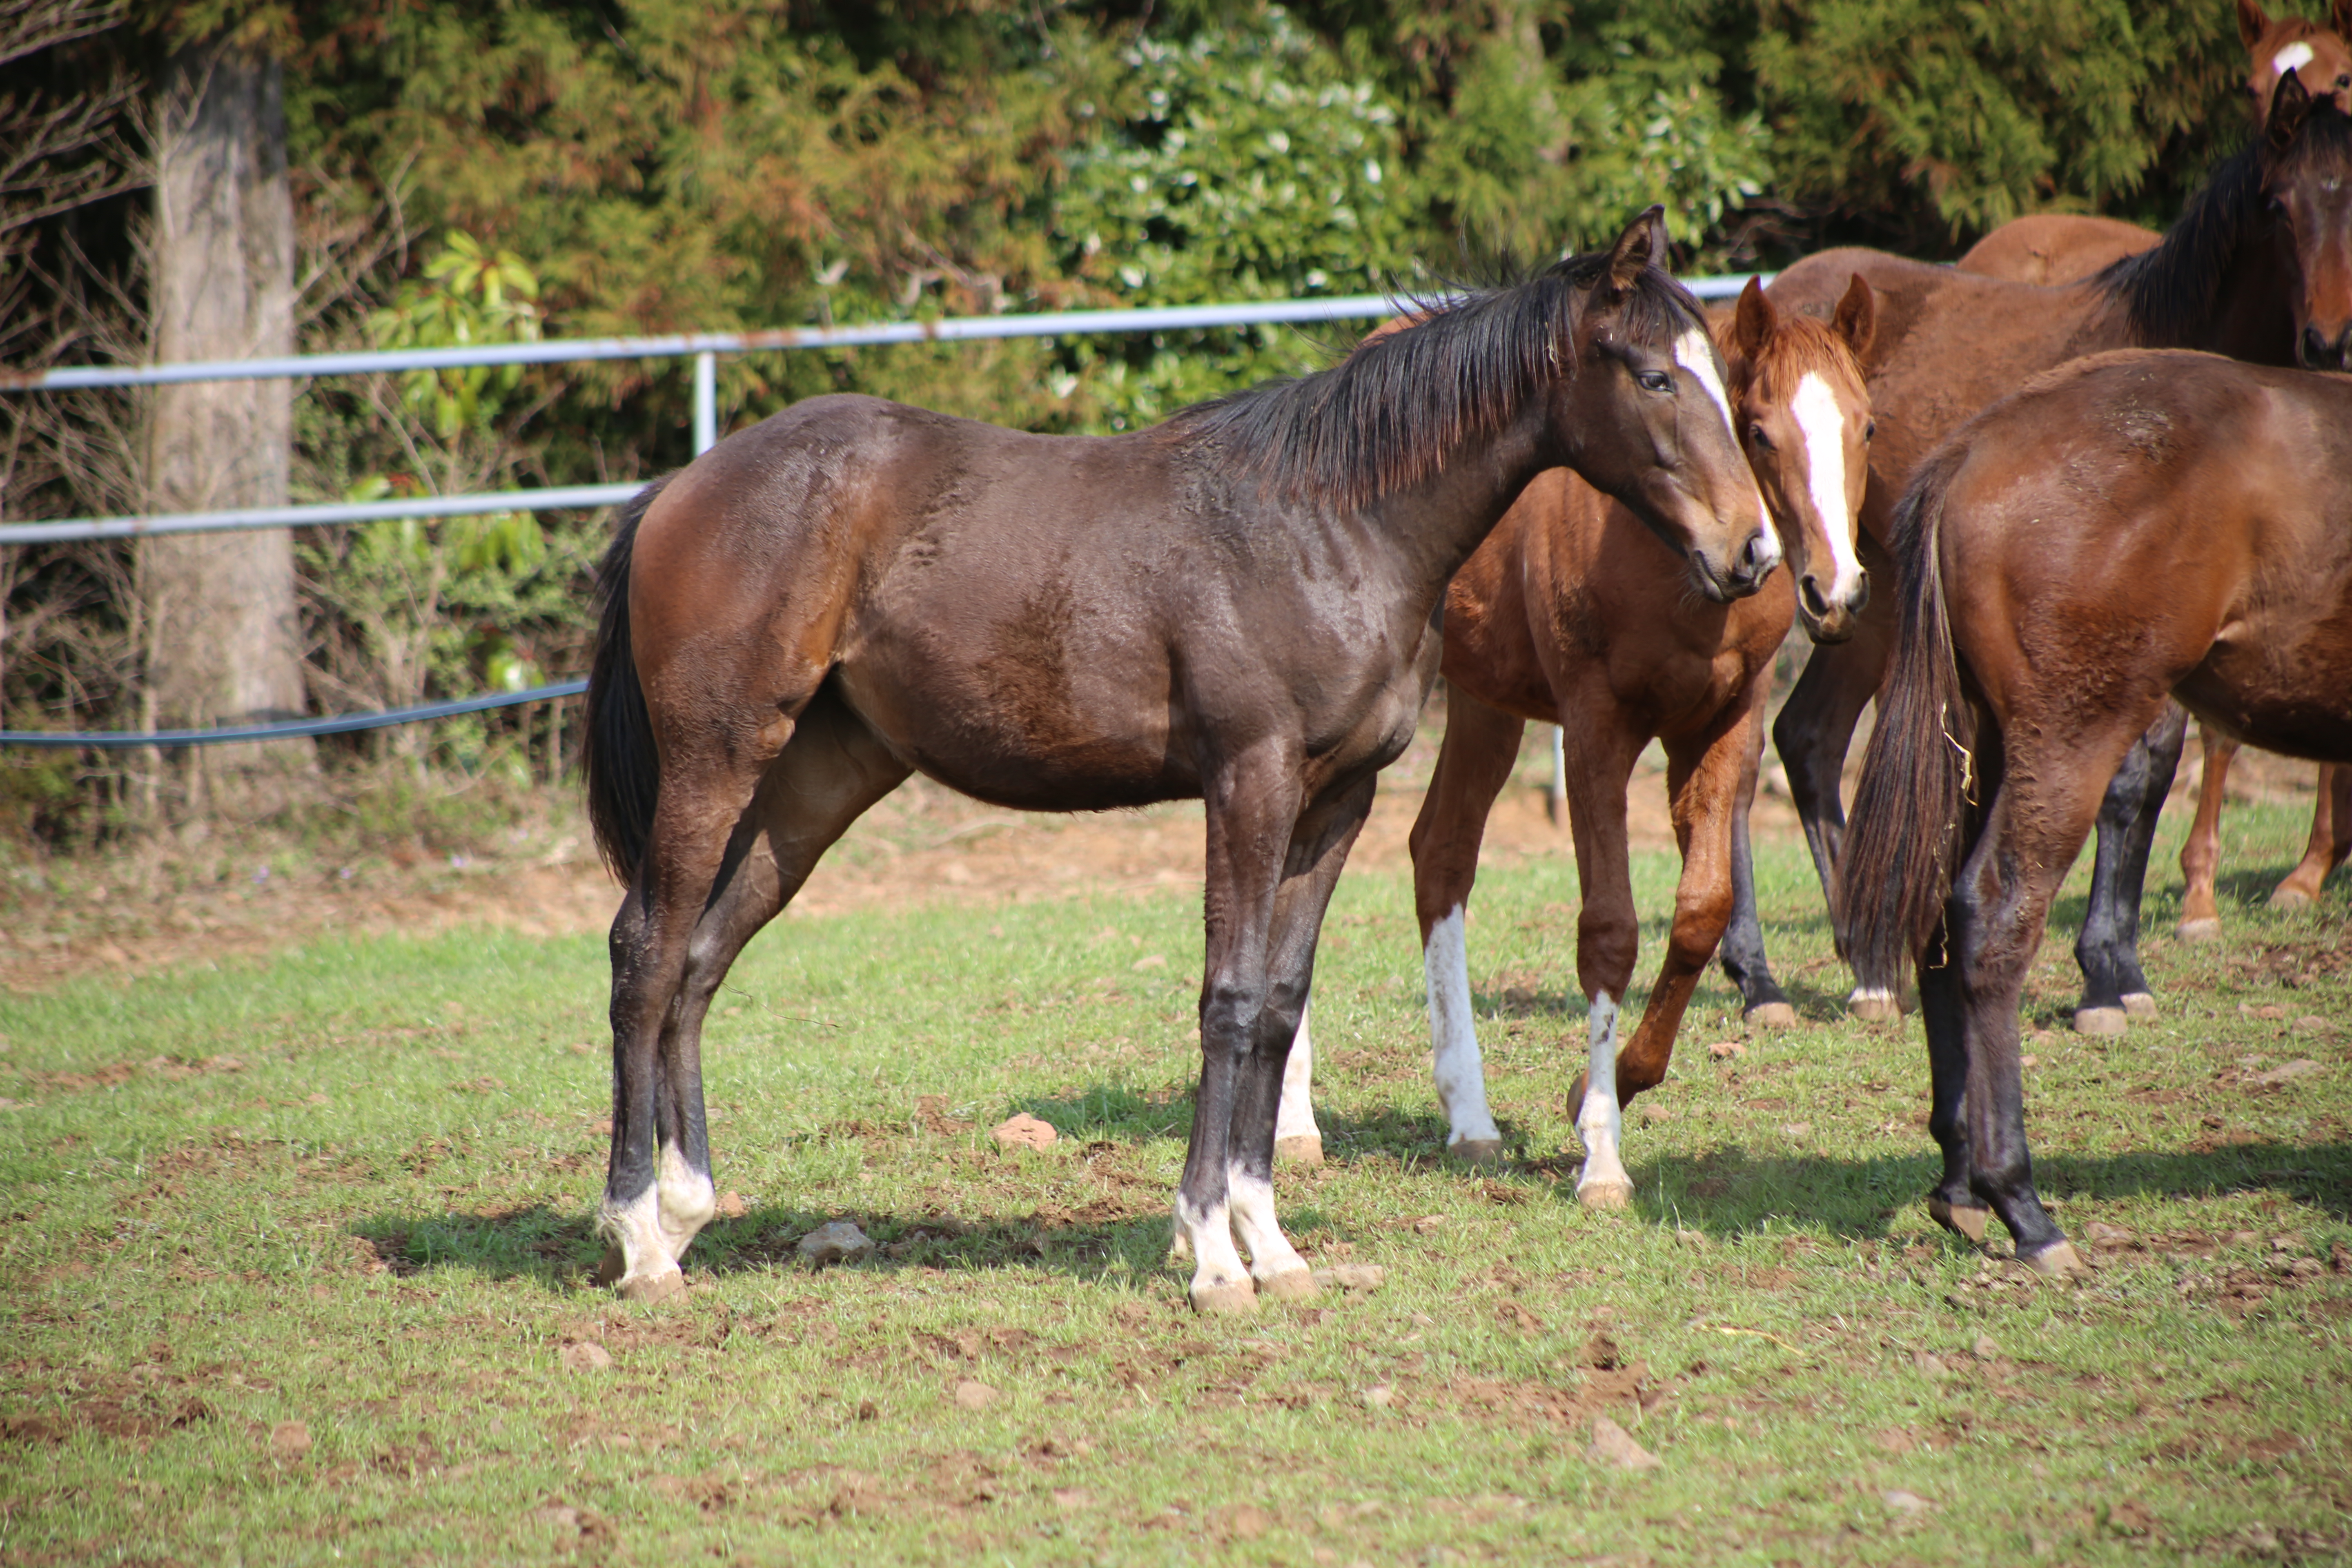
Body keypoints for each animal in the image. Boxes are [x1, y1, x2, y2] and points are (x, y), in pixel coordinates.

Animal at [578, 208, 1768, 1316]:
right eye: (1655, 376)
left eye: (1725, 382)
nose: (1750, 552)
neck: (1331, 529)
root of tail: (674, 492)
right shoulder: (1249, 778)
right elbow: (1229, 999)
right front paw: (1209, 1253)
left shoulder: (1336, 800)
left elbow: (1280, 1004)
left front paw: (1271, 1247)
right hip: (717, 759)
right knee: (646, 951)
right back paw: (637, 1235)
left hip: (816, 783)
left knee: (701, 959)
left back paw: (686, 1210)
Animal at [1270, 276, 1872, 1194]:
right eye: (1761, 430)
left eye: (1867, 427)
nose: (1832, 591)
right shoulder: (1597, 728)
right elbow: (1610, 929)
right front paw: (1601, 1154)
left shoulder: (1723, 725)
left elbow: (1701, 910)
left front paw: (1610, 1088)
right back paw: (1296, 1125)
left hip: (1485, 702)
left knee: (1441, 853)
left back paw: (1471, 1120)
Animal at [1740, 73, 2352, 1029]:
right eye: (2280, 206)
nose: (2329, 341)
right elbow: (2133, 774)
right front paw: (2107, 972)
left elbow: (2149, 773)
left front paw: (2119, 963)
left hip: (1864, 602)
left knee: (1808, 737)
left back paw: (1869, 963)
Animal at [1844, 352, 2352, 1278]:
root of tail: (1969, 450)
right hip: (2071, 733)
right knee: (1996, 915)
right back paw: (2022, 1206)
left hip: (1988, 740)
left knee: (1941, 916)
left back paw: (1961, 1184)